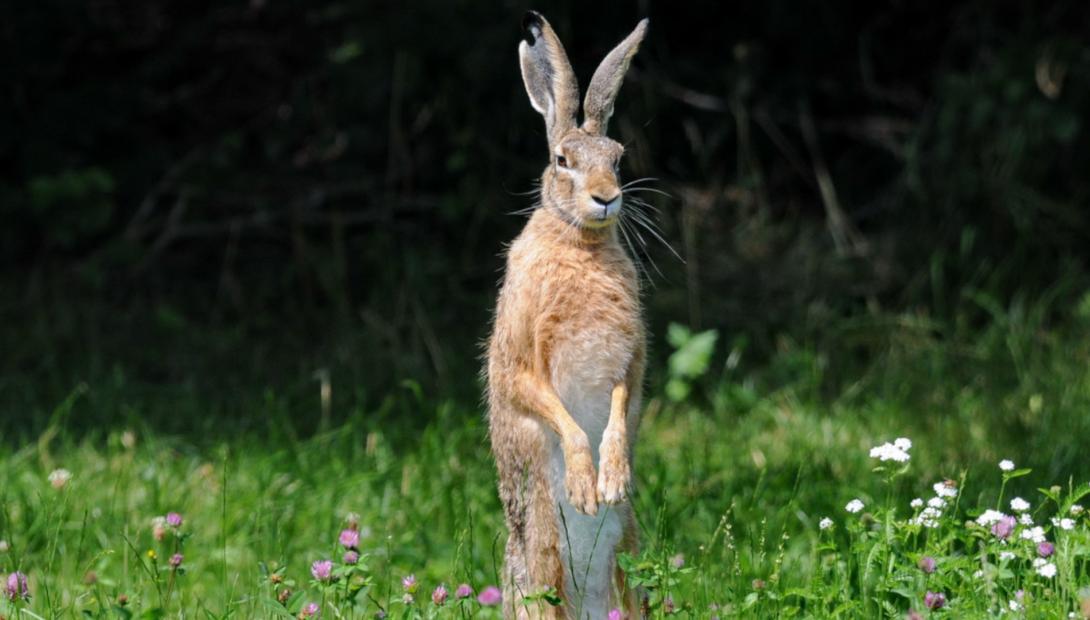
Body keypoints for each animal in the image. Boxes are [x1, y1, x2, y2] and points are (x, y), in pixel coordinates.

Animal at [486, 10, 650, 619]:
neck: (581, 242)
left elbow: (620, 404)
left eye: (618, 159)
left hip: (628, 558)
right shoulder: (521, 359)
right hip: (542, 553)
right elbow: (557, 413)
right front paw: (584, 487)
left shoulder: (631, 358)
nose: (606, 198)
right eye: (562, 161)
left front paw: (612, 479)